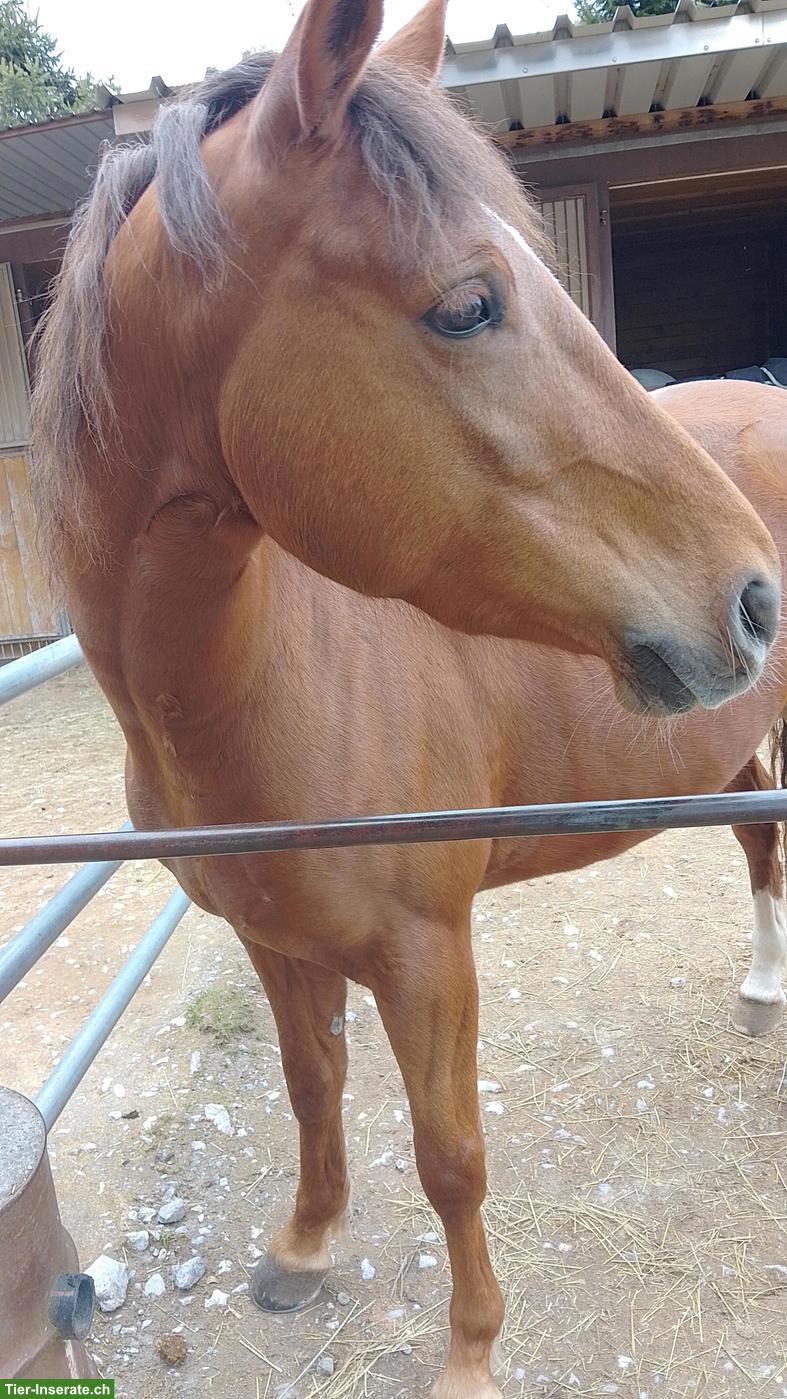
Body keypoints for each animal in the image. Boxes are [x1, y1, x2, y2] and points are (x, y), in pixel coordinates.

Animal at [30, 1, 786, 1394]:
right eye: (469, 305)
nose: (753, 596)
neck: (250, 697)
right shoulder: (273, 943)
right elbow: (309, 1089)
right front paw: (304, 1244)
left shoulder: (429, 957)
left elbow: (450, 1158)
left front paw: (471, 1350)